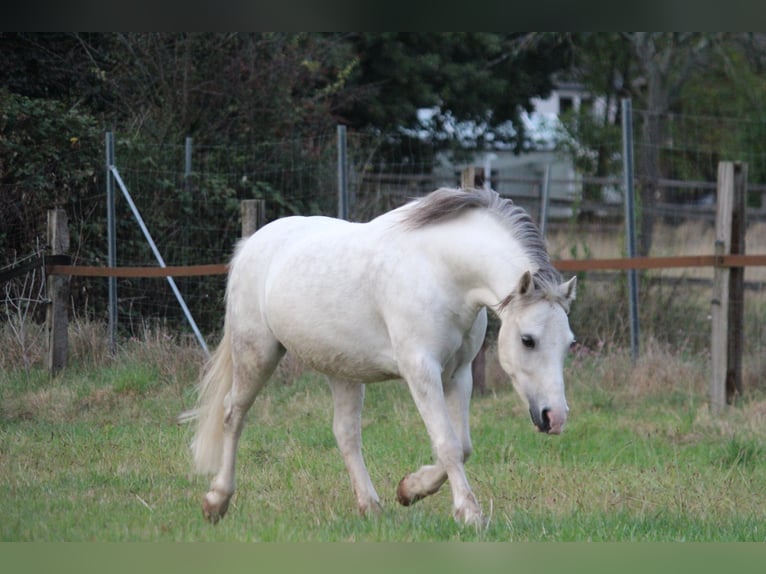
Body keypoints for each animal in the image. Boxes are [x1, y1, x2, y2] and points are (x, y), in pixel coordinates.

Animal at [181, 187, 576, 526]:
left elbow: (462, 446)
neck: (439, 269)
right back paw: (216, 501)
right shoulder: (421, 370)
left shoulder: (459, 373)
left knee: (345, 434)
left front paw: (409, 489)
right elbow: (448, 444)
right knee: (233, 415)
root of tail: (251, 244)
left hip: (341, 370)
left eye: (568, 344)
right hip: (256, 352)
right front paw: (469, 513)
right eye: (528, 340)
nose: (554, 418)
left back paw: (370, 506)